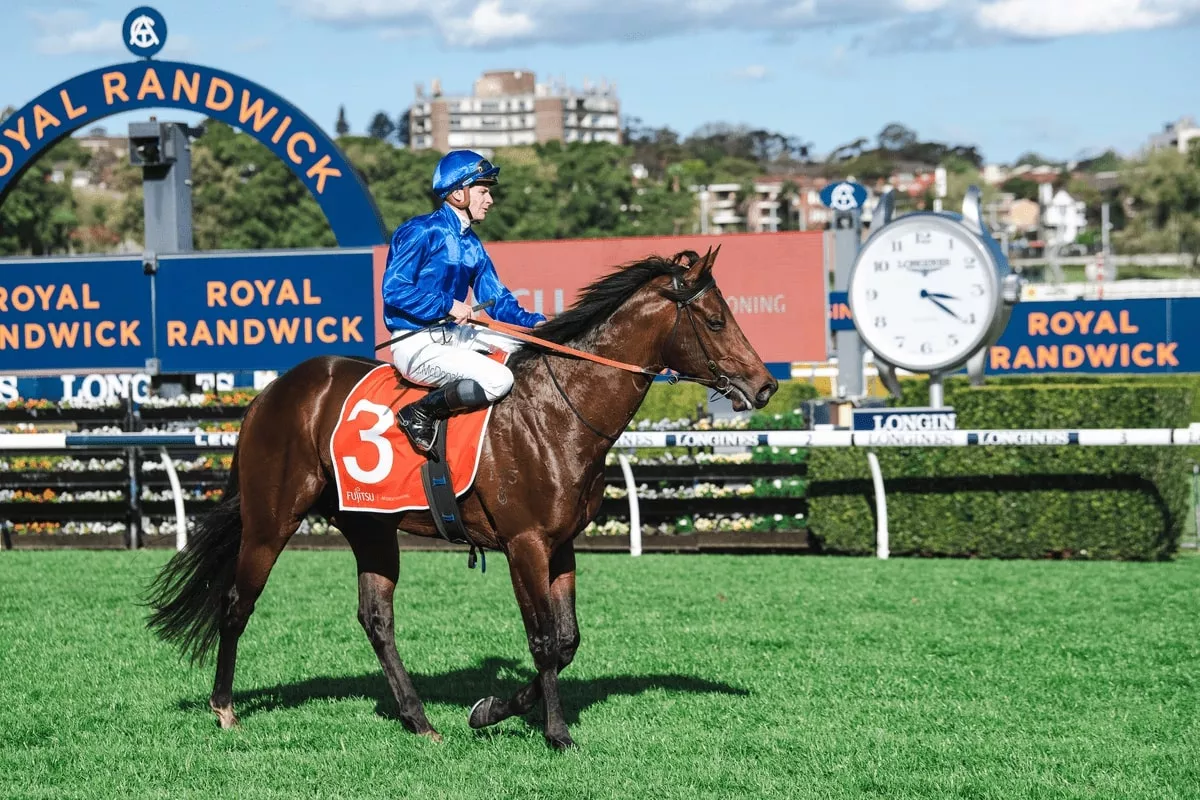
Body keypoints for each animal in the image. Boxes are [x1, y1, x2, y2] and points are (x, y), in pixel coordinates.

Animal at [145, 245, 777, 753]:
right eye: (716, 319)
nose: (766, 385)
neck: (560, 412)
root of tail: (270, 393)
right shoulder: (525, 544)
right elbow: (543, 641)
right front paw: (555, 733)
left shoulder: (562, 545)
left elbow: (567, 641)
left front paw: (491, 710)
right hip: (271, 519)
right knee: (235, 603)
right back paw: (225, 709)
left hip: (370, 526)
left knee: (376, 619)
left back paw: (420, 720)